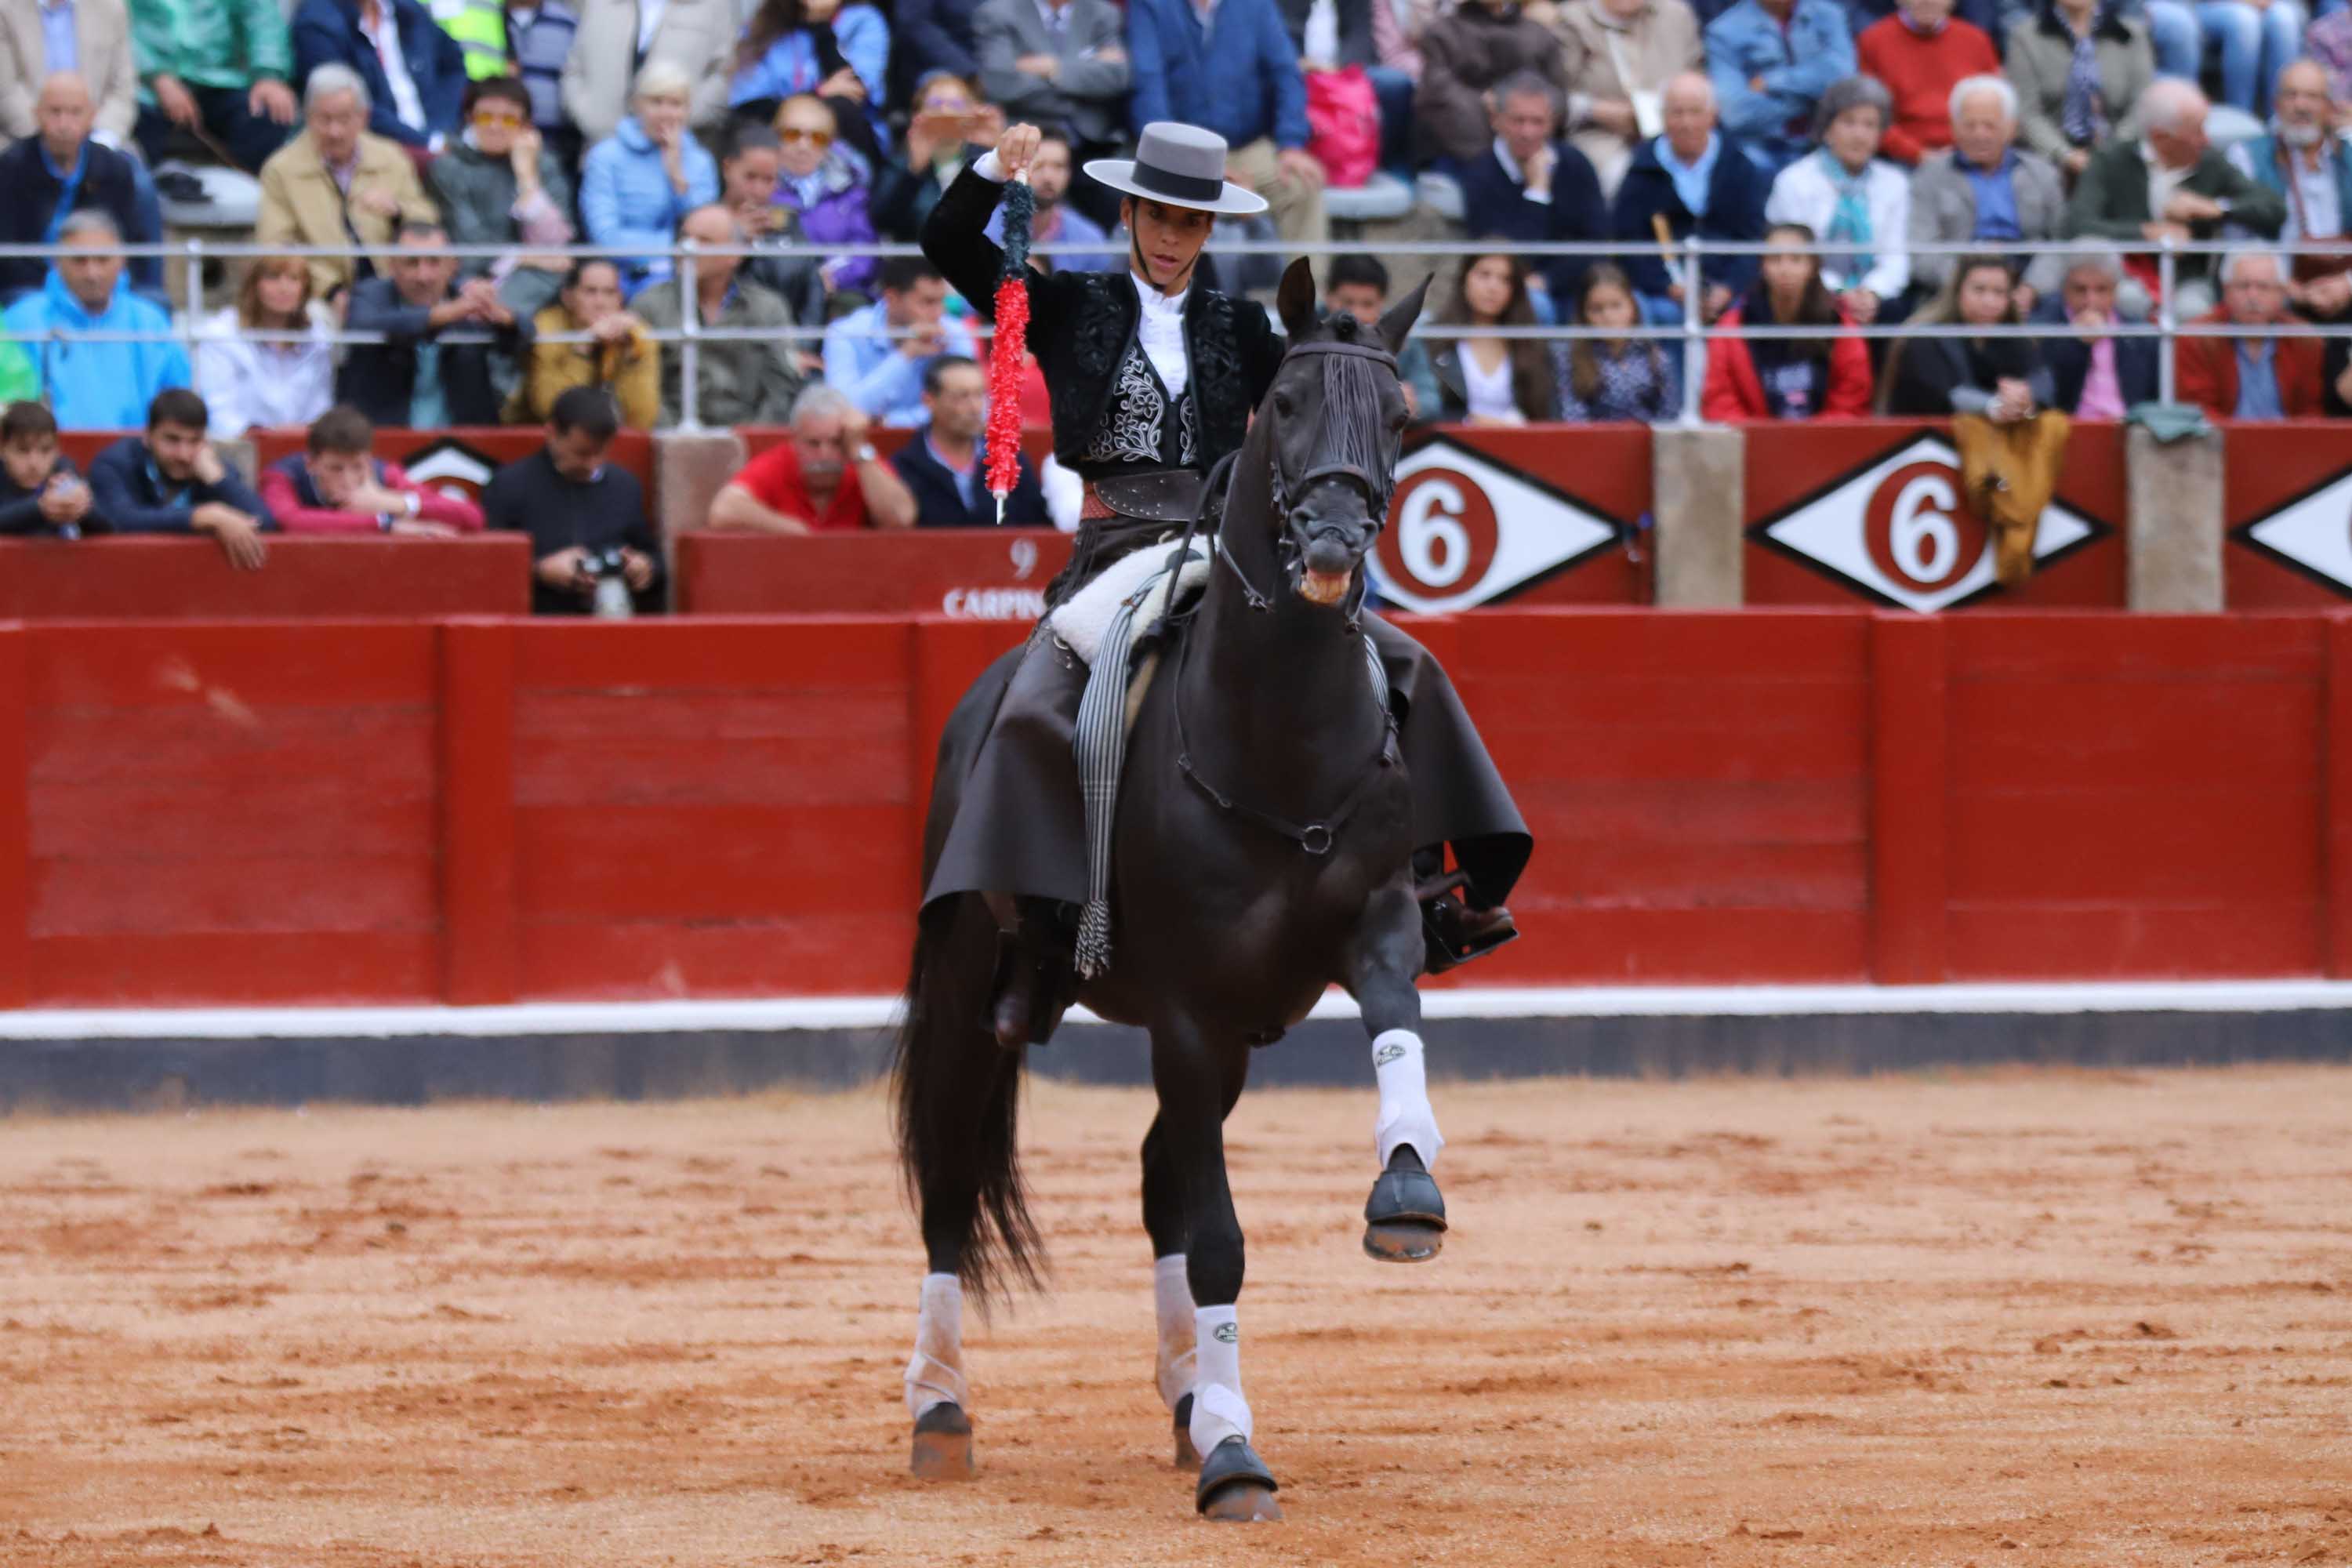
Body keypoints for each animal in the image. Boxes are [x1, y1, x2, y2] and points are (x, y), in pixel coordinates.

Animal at [894, 257, 1449, 1523]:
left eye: (1401, 417)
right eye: (1284, 405)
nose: (1331, 545)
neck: (1280, 730)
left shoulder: (1375, 924)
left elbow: (1396, 1023)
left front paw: (1406, 1190)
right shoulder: (1191, 1013)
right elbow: (1221, 1240)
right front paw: (1240, 1459)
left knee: (1156, 1180)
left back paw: (1192, 1397)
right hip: (970, 980)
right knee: (951, 1174)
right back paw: (942, 1411)